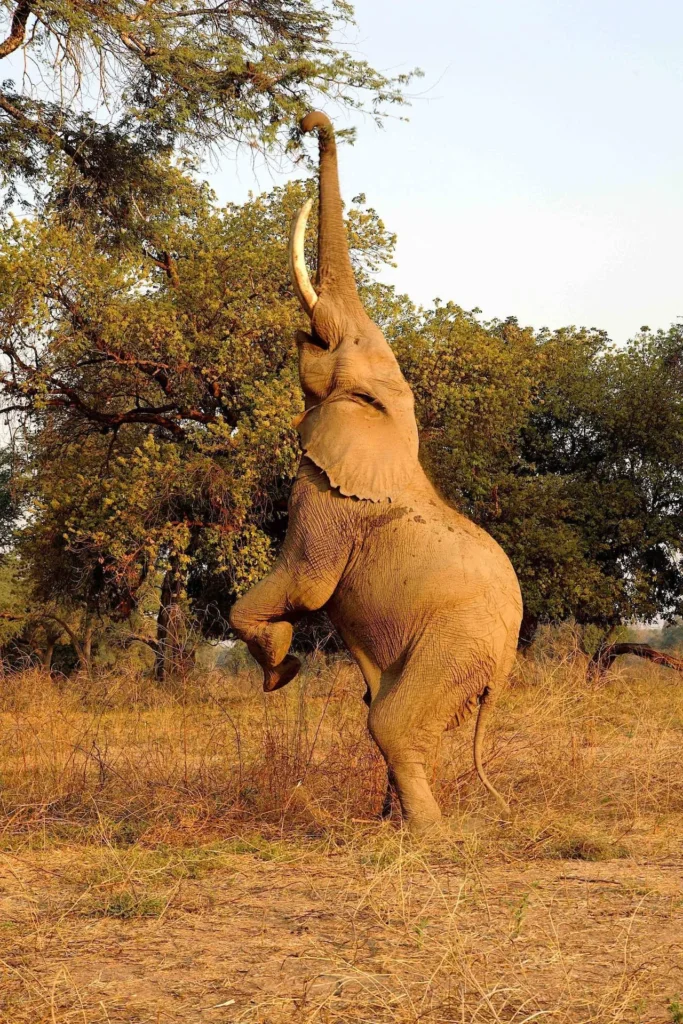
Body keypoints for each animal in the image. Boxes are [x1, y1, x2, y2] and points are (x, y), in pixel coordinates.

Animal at [229, 111, 523, 831]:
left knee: (390, 722)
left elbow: (305, 588)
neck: (393, 424)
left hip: (454, 642)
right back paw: (397, 822)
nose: (309, 117)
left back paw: (423, 835)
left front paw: (279, 671)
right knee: (396, 715)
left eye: (341, 343)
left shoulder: (325, 502)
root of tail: (501, 673)